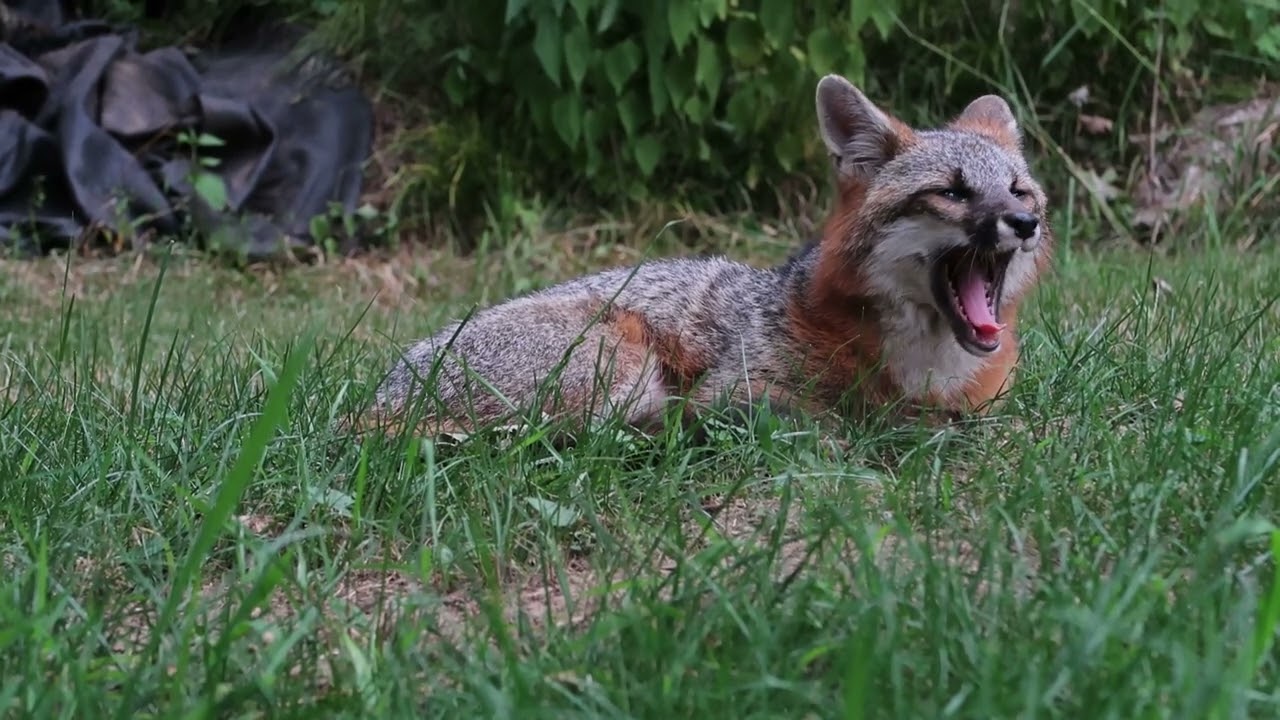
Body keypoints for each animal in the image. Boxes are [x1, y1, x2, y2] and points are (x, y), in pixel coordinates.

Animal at [356, 73, 1053, 439]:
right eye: (952, 192)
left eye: (1018, 190)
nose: (1026, 223)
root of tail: (380, 400)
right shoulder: (734, 388)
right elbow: (834, 421)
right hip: (627, 367)